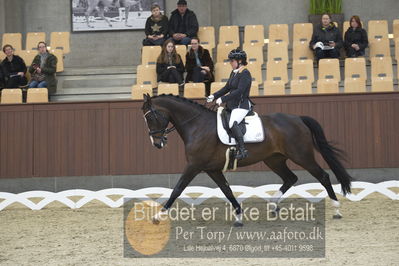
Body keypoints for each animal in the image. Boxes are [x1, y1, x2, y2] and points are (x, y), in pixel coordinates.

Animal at [141, 94, 354, 227]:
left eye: (150, 117)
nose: (157, 143)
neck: (196, 124)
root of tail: (298, 119)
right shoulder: (212, 169)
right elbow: (227, 191)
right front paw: (239, 216)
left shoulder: (194, 166)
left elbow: (177, 189)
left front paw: (158, 216)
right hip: (274, 159)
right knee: (290, 178)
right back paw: (273, 205)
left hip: (302, 156)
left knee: (323, 176)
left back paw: (336, 209)